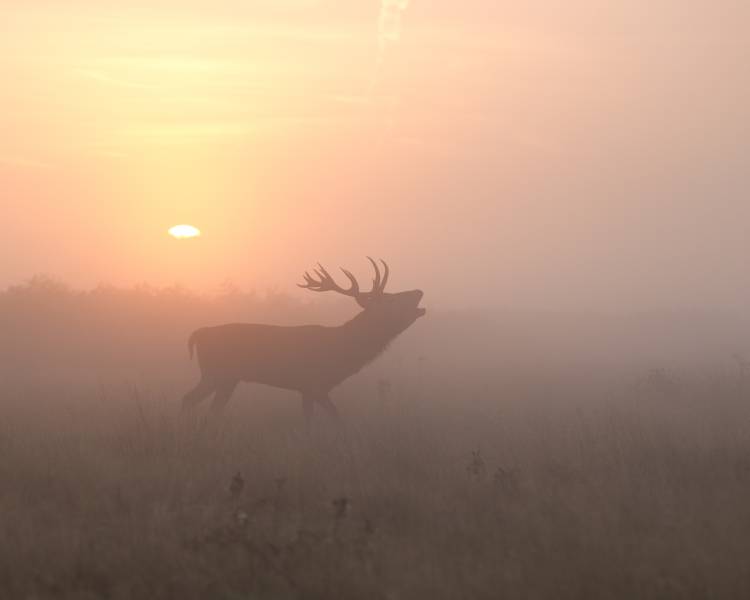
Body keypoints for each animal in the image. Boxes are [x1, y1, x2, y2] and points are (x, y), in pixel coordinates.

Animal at [182, 258, 425, 422]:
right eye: (390, 300)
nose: (419, 291)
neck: (342, 351)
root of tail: (198, 333)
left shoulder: (308, 388)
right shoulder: (313, 383)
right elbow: (332, 418)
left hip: (228, 379)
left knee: (211, 409)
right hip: (215, 373)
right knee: (188, 399)